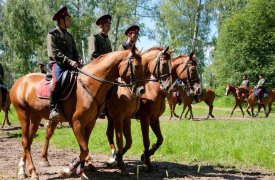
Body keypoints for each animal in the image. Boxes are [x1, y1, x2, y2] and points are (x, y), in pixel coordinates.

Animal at [9, 46, 146, 180]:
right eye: (136, 66)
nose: (142, 90)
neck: (90, 84)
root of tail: (19, 81)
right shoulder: (77, 123)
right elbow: (85, 149)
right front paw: (68, 171)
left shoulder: (90, 123)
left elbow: (84, 148)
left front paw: (81, 172)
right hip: (23, 114)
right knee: (25, 141)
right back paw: (33, 172)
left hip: (35, 118)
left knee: (29, 141)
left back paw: (22, 170)